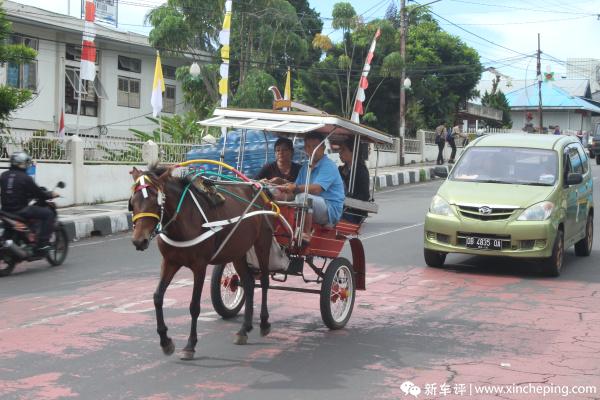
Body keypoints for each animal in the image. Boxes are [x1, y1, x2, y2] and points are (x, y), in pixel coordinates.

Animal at [130, 165, 276, 360]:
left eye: (155, 200)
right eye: (132, 201)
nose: (139, 241)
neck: (183, 221)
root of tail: (259, 187)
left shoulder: (199, 266)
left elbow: (194, 306)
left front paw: (190, 345)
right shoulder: (169, 262)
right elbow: (157, 297)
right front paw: (165, 341)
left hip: (262, 243)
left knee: (265, 281)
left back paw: (264, 323)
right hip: (237, 250)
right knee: (249, 283)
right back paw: (244, 329)